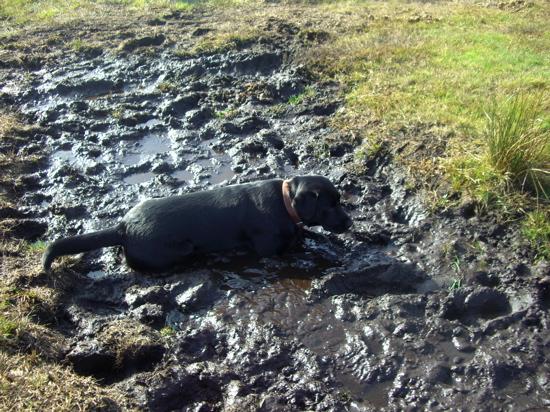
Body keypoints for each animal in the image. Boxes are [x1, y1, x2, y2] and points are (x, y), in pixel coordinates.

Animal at [43, 175, 354, 272]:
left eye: (339, 200)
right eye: (331, 205)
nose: (350, 223)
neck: (285, 201)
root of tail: (122, 227)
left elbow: (310, 235)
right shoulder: (269, 250)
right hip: (179, 250)